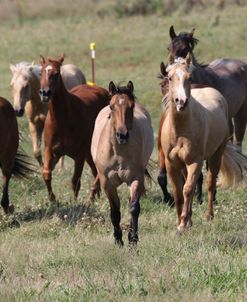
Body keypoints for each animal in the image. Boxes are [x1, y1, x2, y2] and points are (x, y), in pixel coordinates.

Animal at [38, 54, 108, 203]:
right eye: (41, 73)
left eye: (56, 73)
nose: (45, 93)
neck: (63, 120)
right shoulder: (50, 150)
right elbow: (46, 173)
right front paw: (52, 199)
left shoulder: (79, 154)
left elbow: (75, 181)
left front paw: (75, 203)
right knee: (94, 170)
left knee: (98, 171)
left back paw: (93, 193)